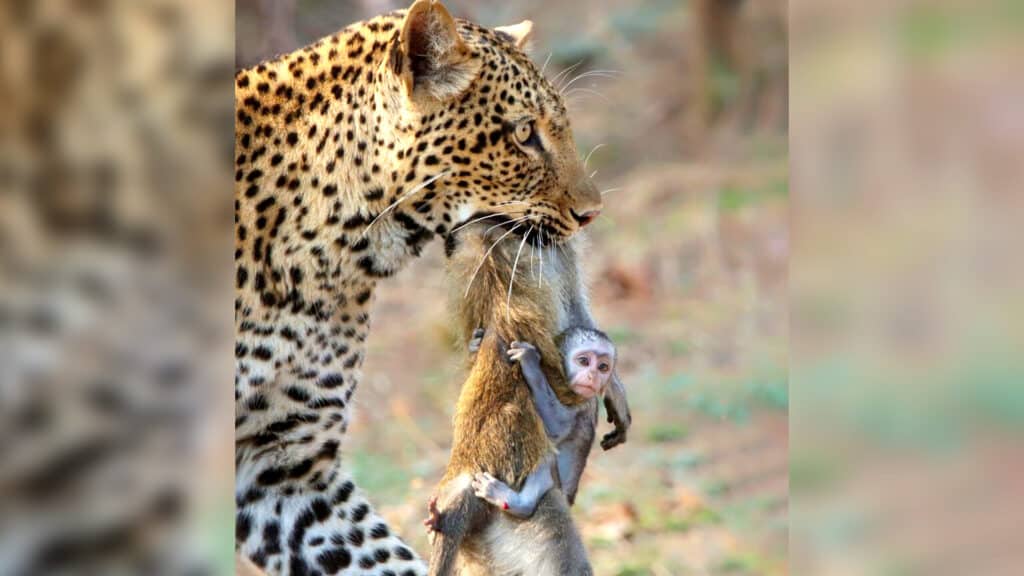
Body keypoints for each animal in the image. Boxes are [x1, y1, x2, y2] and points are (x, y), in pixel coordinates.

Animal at [468, 325, 618, 512]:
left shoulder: (583, 402)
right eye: (584, 361)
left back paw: (518, 503)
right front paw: (475, 343)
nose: (593, 376)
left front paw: (530, 363)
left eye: (603, 367)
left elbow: (556, 429)